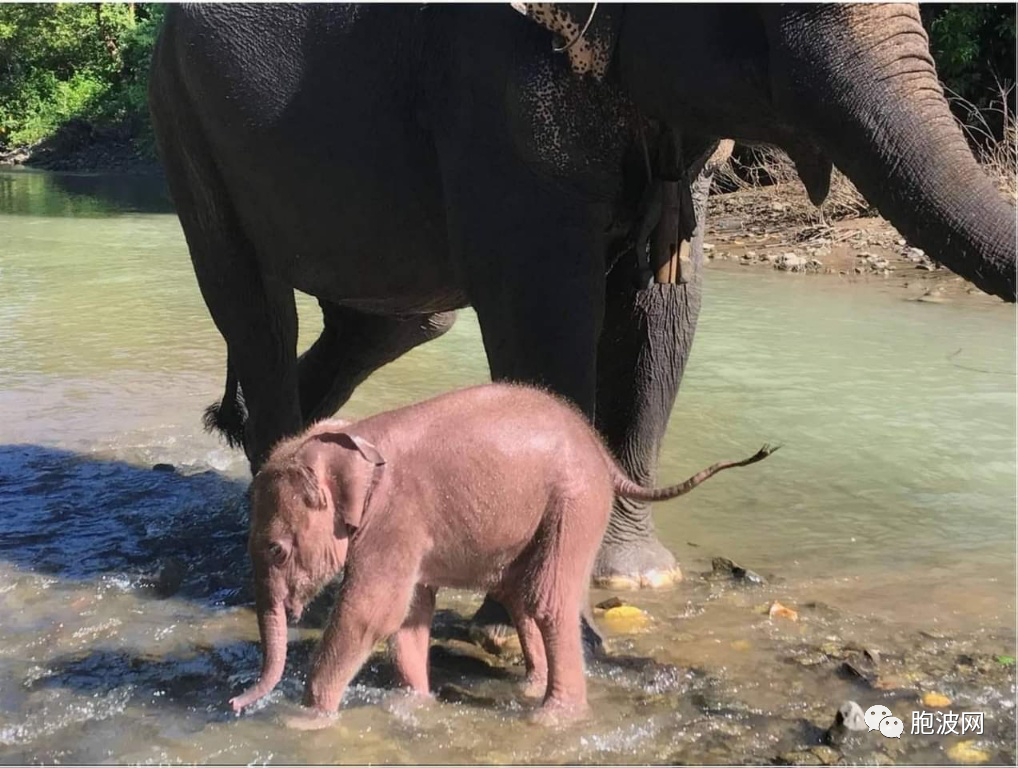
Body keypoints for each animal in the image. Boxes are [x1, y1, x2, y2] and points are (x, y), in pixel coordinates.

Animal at [147, 2, 1013, 594]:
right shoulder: (490, 83)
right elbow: (544, 305)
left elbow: (661, 312)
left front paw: (634, 575)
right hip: (183, 118)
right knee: (254, 304)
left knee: (400, 320)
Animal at [229, 382, 769, 717]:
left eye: (276, 550)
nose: (235, 704)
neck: (354, 436)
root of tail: (602, 452)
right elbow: (410, 613)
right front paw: (415, 706)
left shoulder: (395, 519)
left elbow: (372, 611)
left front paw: (306, 719)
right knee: (521, 595)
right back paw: (530, 686)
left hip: (575, 501)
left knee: (549, 600)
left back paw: (553, 716)